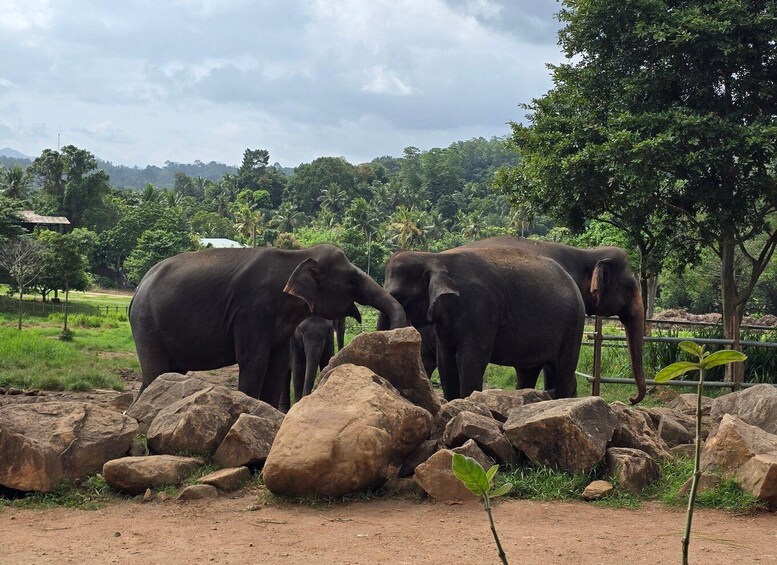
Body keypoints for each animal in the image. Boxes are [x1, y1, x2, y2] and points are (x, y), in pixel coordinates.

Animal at [129, 244, 407, 407]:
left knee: (168, 372)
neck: (298, 255)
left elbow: (278, 364)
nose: (393, 333)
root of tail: (137, 289)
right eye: (351, 279)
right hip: (147, 324)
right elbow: (255, 360)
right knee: (156, 372)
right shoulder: (251, 311)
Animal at [377, 246, 585, 400]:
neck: (435, 257)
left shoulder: (480, 309)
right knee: (528, 371)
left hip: (574, 327)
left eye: (398, 296)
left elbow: (470, 358)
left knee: (562, 370)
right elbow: (445, 359)